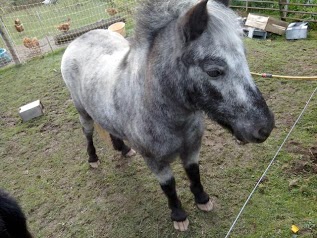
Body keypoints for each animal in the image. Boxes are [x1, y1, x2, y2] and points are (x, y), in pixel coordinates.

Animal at [60, 0, 272, 231]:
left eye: (244, 58)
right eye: (214, 71)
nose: (264, 127)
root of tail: (80, 39)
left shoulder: (192, 148)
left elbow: (194, 173)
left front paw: (202, 200)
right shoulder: (156, 162)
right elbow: (169, 186)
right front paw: (179, 216)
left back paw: (123, 148)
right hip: (82, 112)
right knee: (88, 133)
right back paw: (93, 158)